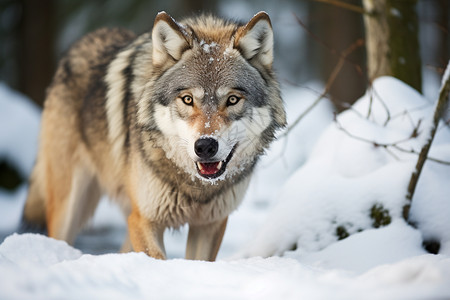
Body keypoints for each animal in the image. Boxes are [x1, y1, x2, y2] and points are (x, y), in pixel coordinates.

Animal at [22, 11, 284, 260]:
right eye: (187, 99)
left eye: (232, 100)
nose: (205, 146)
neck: (195, 186)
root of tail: (78, 44)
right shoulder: (144, 220)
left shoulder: (209, 224)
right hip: (70, 207)